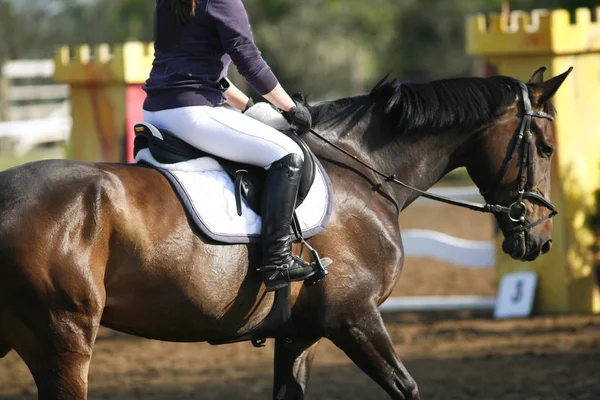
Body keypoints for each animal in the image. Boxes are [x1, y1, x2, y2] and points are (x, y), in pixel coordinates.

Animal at [0, 67, 572, 398]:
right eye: (545, 147)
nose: (539, 238)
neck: (363, 170)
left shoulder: (299, 332)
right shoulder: (353, 317)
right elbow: (407, 389)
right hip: (64, 338)